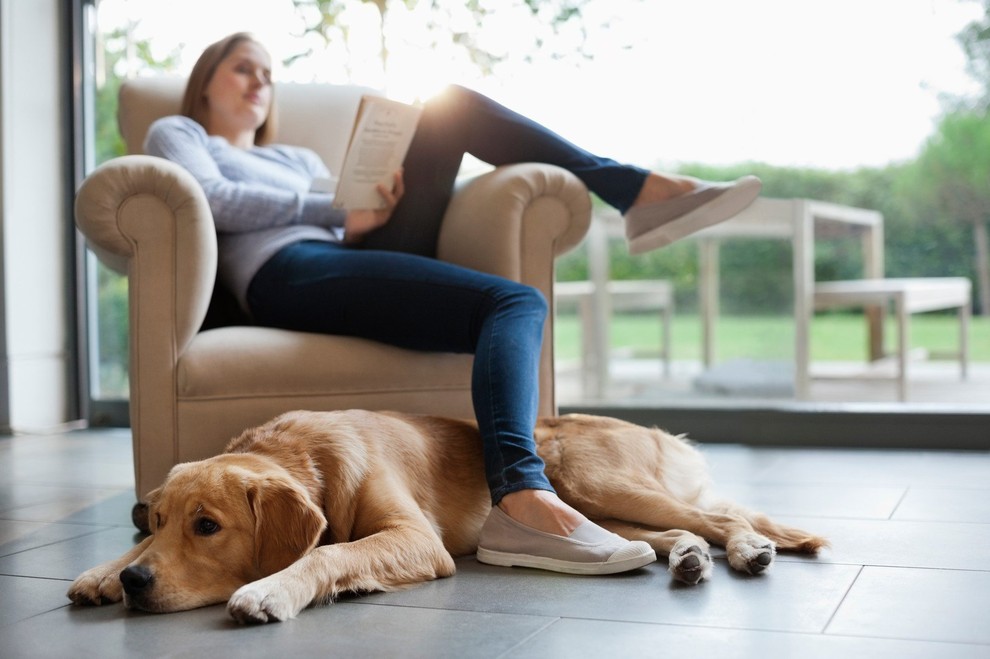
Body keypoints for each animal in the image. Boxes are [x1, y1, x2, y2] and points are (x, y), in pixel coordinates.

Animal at [68, 412, 828, 624]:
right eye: (156, 519)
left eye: (207, 526)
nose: (136, 583)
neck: (306, 453)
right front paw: (104, 571)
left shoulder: (415, 538)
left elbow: (327, 551)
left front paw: (271, 588)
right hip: (595, 507)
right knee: (680, 531)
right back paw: (690, 560)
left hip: (593, 478)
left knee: (716, 517)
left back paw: (748, 550)